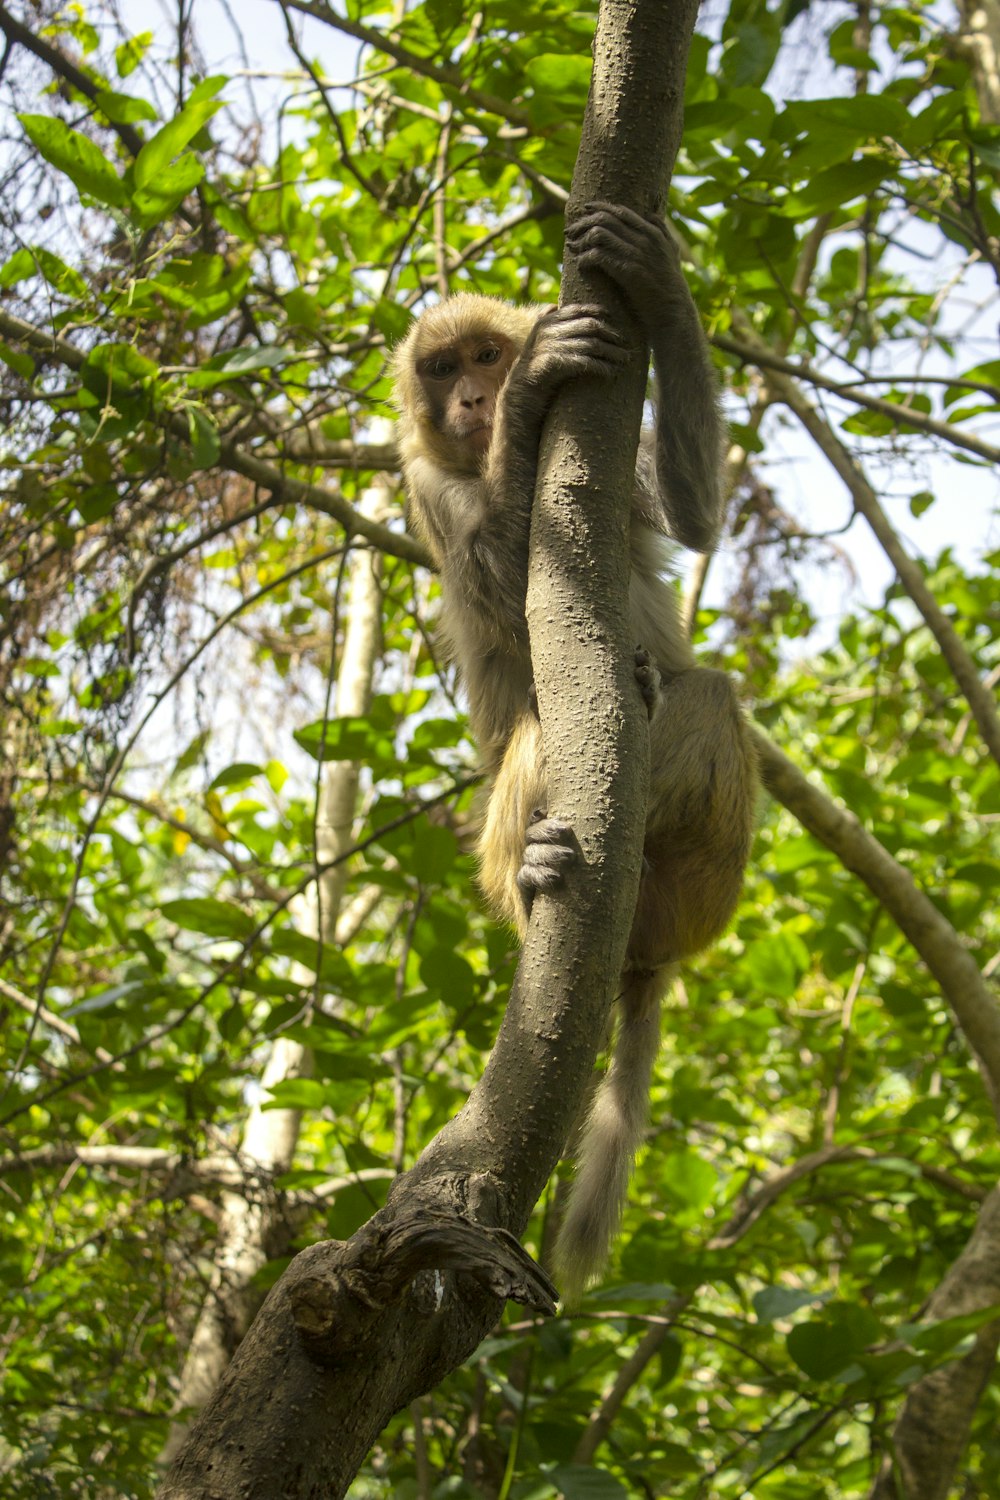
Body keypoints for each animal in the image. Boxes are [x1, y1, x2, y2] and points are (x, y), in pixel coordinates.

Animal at [389, 199, 758, 1302]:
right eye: (441, 370)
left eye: (481, 353)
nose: (476, 395)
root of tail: (651, 955)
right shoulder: (421, 480)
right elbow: (500, 583)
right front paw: (526, 409)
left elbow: (690, 514)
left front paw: (663, 289)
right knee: (551, 721)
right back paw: (537, 870)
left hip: (703, 894)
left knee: (706, 693)